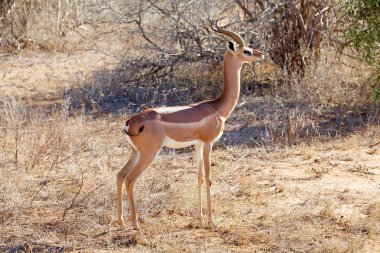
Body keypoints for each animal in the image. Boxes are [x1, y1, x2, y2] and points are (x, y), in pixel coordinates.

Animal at [116, 20, 264, 230]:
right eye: (247, 51)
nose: (261, 54)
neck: (216, 107)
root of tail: (131, 122)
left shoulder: (197, 144)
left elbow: (199, 178)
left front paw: (200, 219)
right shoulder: (209, 143)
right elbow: (209, 179)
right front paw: (212, 222)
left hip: (135, 152)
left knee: (120, 175)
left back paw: (121, 222)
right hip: (149, 154)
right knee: (130, 180)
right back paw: (136, 224)